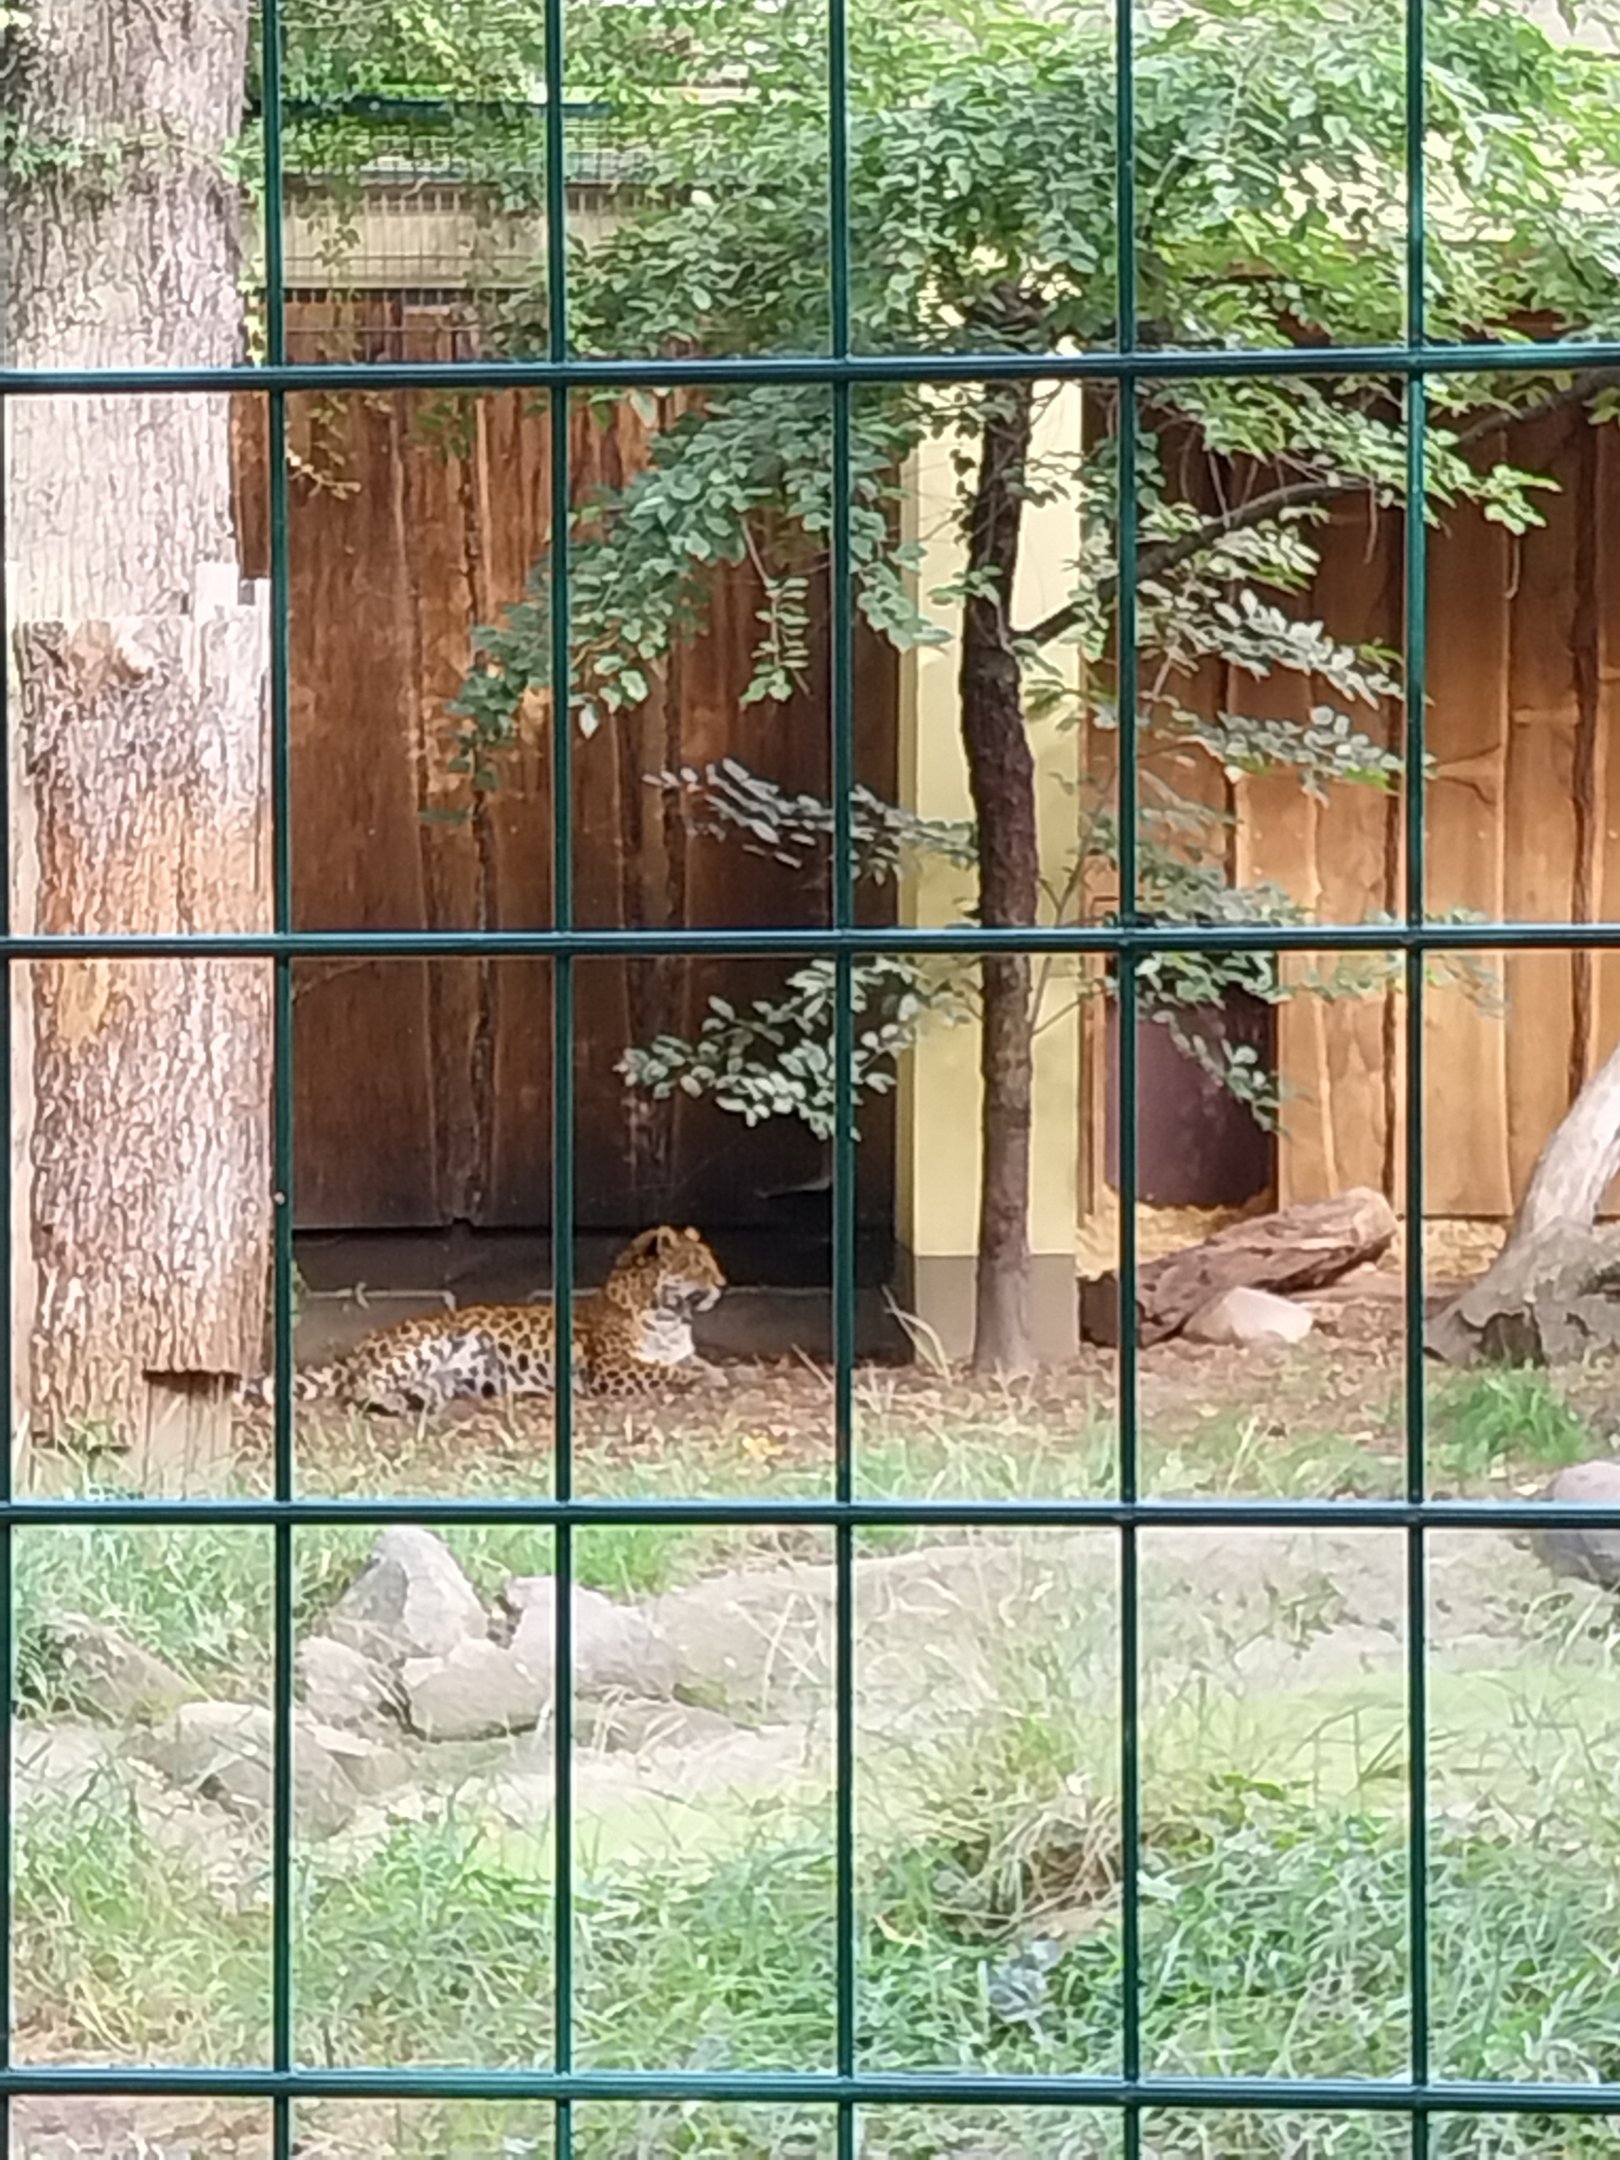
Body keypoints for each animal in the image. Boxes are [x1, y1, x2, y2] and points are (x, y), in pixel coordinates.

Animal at [239, 1225, 725, 1416]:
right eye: (696, 1266)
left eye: (709, 1262)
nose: (723, 1283)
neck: (668, 1315)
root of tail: (361, 1346)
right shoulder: (612, 1370)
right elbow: (663, 1372)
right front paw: (700, 1379)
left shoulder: (676, 1350)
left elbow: (691, 1362)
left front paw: (715, 1374)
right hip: (422, 1345)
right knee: (360, 1385)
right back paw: (389, 1400)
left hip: (443, 1373)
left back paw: (419, 1399)